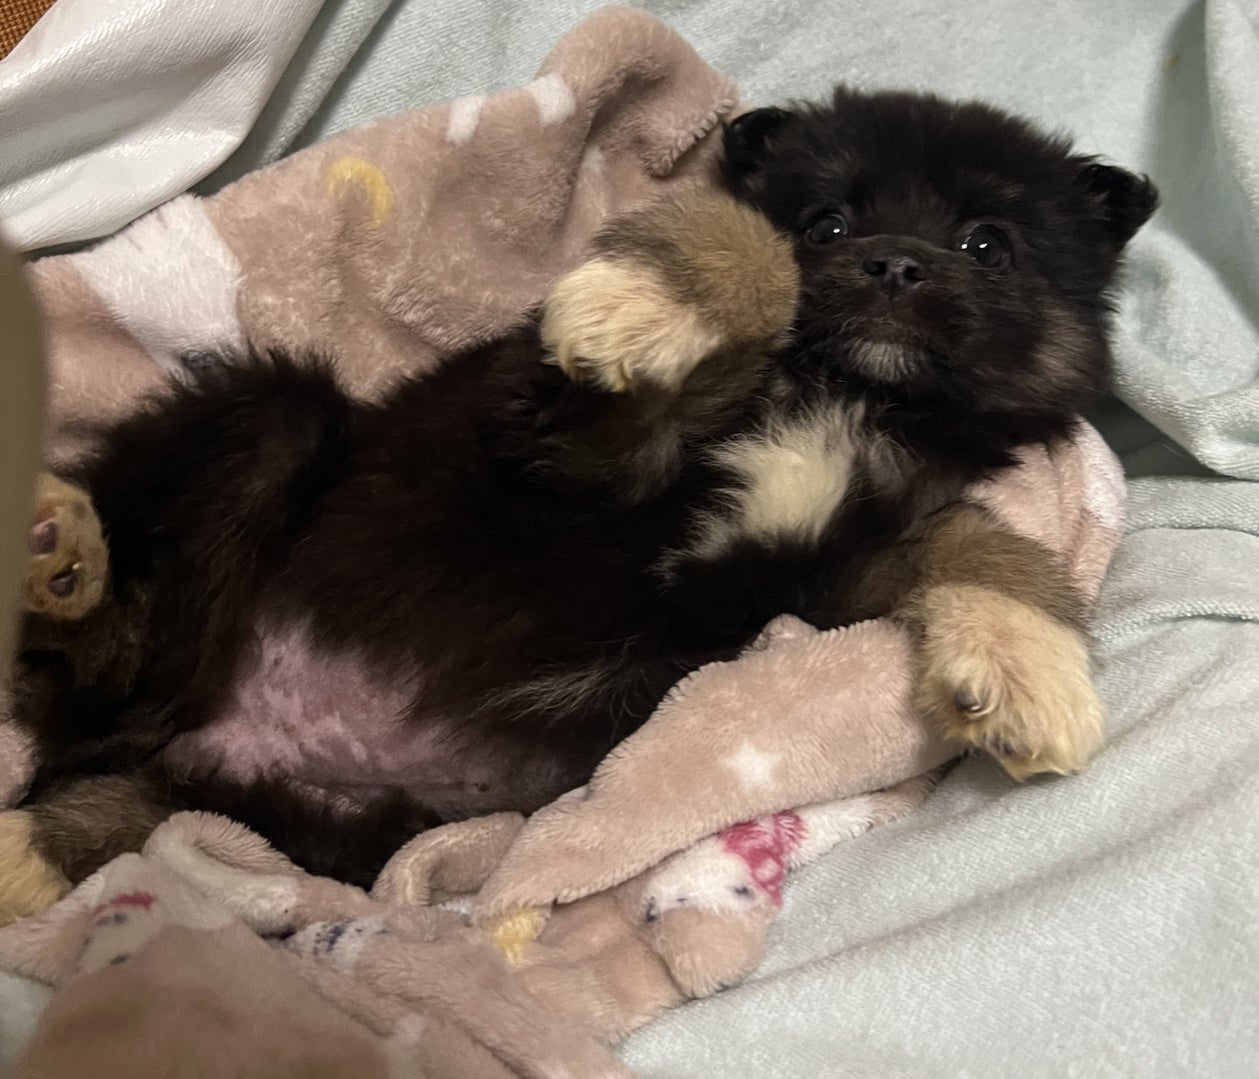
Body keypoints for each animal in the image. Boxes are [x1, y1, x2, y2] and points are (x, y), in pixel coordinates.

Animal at [1, 86, 1157, 920]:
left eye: (985, 244)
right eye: (825, 221)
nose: (895, 265)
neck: (839, 392)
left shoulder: (807, 578)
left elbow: (970, 535)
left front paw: (1030, 660)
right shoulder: (568, 448)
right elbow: (743, 264)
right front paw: (640, 301)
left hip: (345, 819)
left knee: (127, 771)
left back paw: (48, 828)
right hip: (273, 418)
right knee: (116, 649)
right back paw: (60, 564)